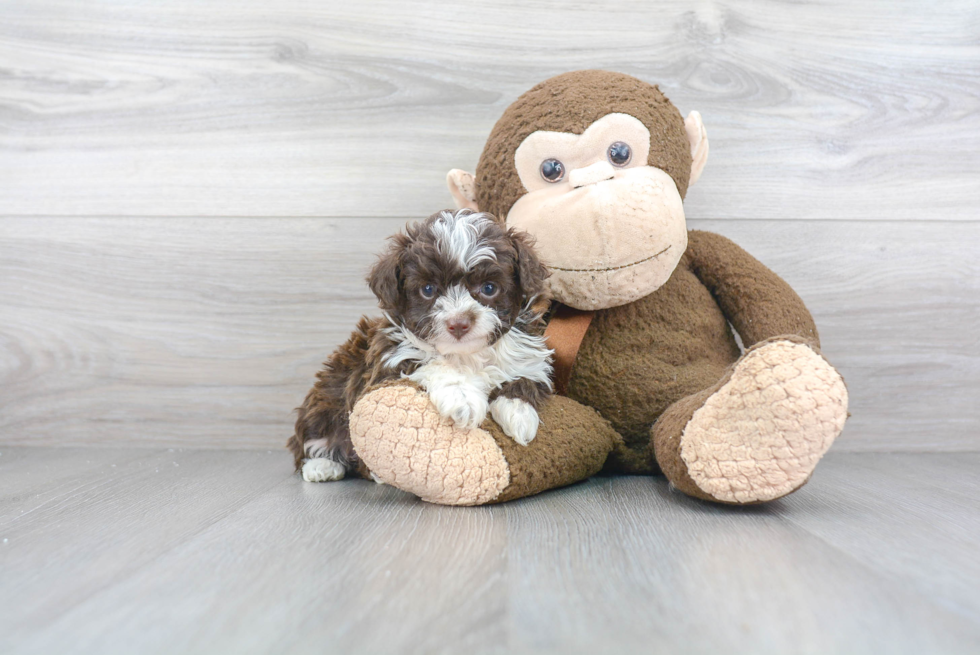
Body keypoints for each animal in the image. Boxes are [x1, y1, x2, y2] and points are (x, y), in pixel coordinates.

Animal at [288, 208, 556, 484]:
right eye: (428, 289)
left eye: (489, 288)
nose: (458, 323)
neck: (466, 355)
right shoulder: (387, 361)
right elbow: (431, 364)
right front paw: (463, 398)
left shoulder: (528, 354)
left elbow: (525, 375)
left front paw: (518, 413)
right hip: (325, 398)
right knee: (310, 439)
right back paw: (322, 465)